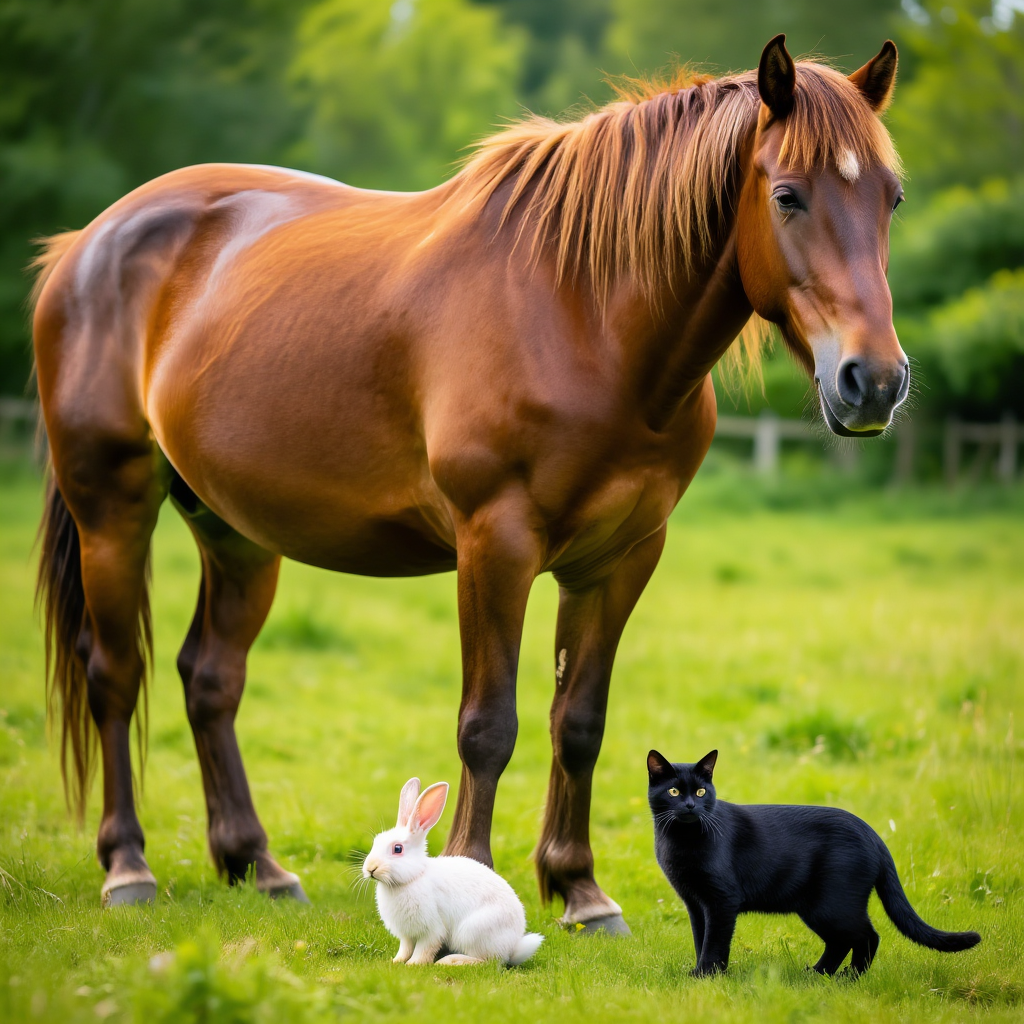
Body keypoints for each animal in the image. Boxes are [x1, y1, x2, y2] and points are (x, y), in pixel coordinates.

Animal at [32, 35, 907, 928]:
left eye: (892, 198)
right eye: (788, 195)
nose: (873, 381)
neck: (580, 313)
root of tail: (88, 242)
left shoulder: (620, 558)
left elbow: (579, 723)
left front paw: (580, 890)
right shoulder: (496, 543)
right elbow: (488, 725)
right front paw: (475, 878)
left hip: (234, 532)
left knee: (210, 679)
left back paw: (257, 864)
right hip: (112, 509)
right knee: (114, 677)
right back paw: (127, 867)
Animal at [362, 777, 545, 966]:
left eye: (397, 849)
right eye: (376, 841)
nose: (370, 868)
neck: (413, 877)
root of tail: (511, 948)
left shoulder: (432, 929)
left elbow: (424, 949)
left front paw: (414, 964)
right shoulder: (407, 934)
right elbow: (405, 948)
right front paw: (396, 961)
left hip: (472, 932)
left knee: (487, 961)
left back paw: (450, 961)